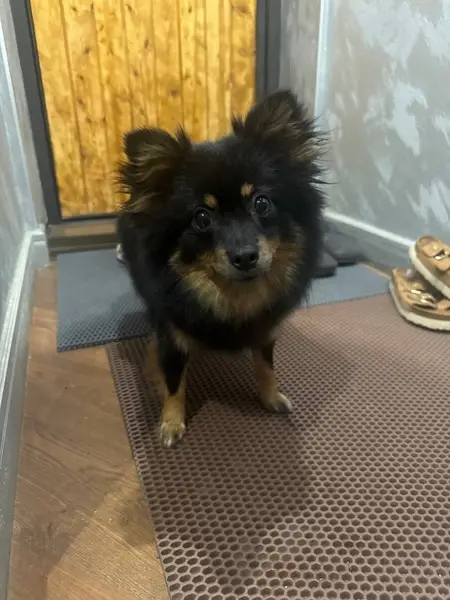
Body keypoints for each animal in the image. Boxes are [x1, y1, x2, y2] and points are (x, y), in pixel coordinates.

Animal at [117, 90, 326, 448]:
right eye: (202, 218)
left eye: (261, 203)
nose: (245, 256)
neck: (234, 299)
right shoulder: (172, 338)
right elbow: (174, 384)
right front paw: (171, 423)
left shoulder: (265, 331)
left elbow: (266, 367)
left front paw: (271, 397)